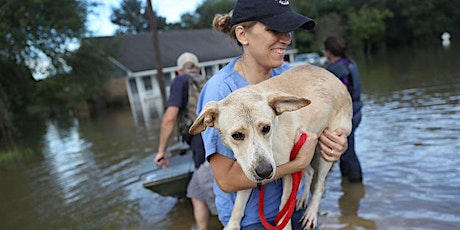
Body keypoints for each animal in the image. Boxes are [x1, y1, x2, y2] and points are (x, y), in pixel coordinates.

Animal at [189, 64, 350, 230]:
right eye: (237, 135)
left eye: (266, 128)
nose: (265, 171)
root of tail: (332, 76)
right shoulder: (247, 170)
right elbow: (239, 204)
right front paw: (233, 224)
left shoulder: (288, 171)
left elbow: (284, 208)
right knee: (310, 172)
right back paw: (303, 198)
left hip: (327, 150)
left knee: (320, 185)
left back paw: (311, 213)